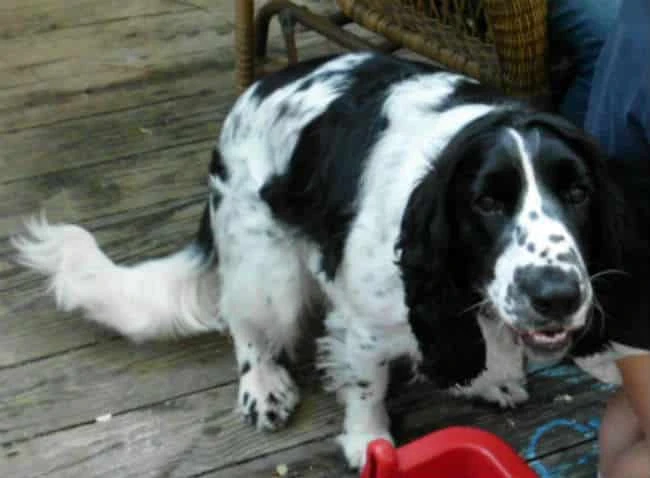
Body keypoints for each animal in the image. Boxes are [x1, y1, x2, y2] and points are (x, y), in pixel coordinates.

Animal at [12, 54, 644, 468]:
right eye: (486, 202)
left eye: (579, 192)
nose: (556, 295)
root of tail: (251, 91)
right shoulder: (365, 320)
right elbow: (366, 384)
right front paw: (368, 443)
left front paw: (490, 377)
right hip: (265, 260)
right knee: (243, 317)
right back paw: (263, 384)